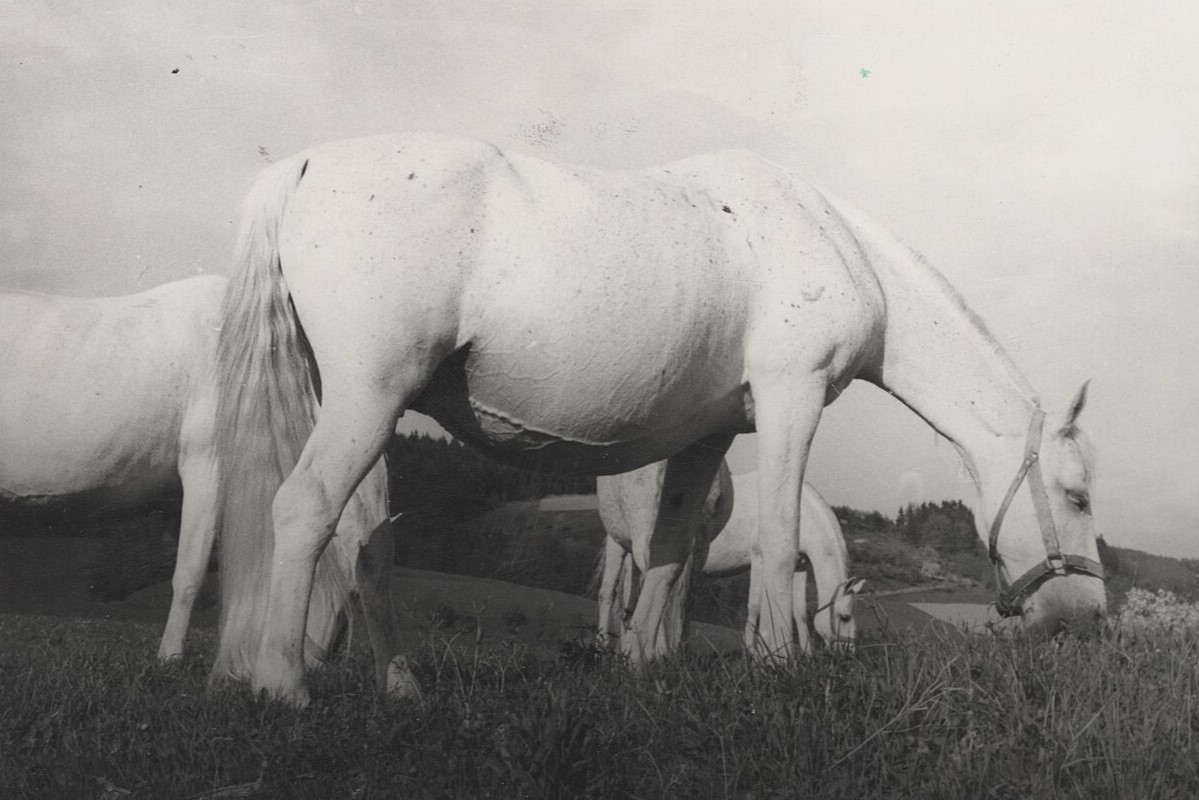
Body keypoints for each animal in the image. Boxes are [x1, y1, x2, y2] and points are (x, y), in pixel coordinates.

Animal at [596, 459, 863, 658]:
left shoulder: (799, 567)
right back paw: (605, 646)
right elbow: (754, 605)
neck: (801, 514)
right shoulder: (759, 560)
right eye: (845, 616)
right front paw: (753, 653)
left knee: (630, 599)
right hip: (618, 545)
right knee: (608, 593)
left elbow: (798, 612)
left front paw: (806, 655)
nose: (847, 655)